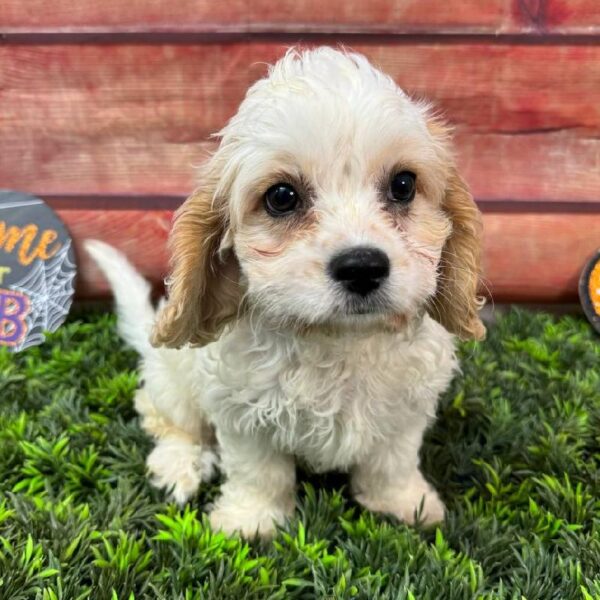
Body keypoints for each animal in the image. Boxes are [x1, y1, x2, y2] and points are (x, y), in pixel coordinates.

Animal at [86, 47, 486, 540]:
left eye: (403, 185)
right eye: (281, 196)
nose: (363, 266)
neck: (337, 340)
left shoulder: (406, 410)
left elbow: (390, 463)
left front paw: (403, 506)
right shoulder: (241, 413)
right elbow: (260, 472)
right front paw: (250, 521)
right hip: (173, 382)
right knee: (168, 420)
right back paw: (178, 466)